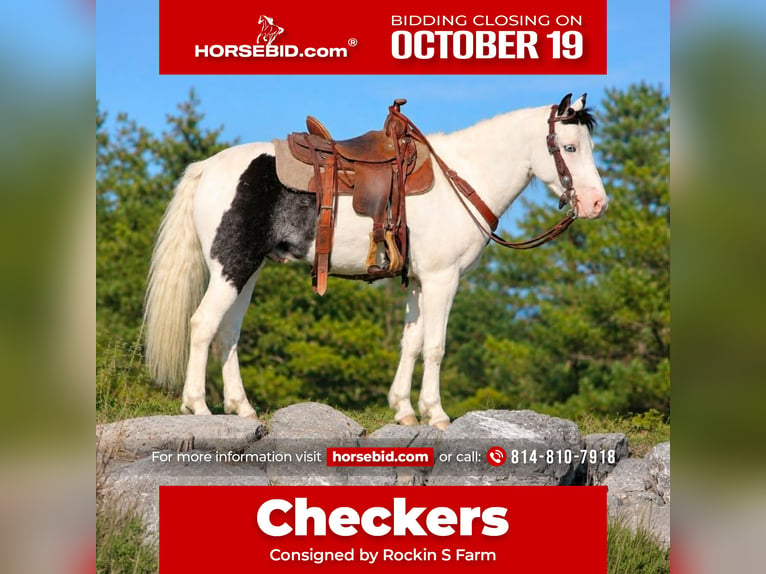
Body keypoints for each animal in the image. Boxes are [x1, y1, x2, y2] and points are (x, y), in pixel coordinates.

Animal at [143, 93, 608, 429]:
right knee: (203, 324)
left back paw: (241, 408)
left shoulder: (419, 282)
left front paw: (404, 409)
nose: (597, 204)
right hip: (231, 268)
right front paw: (436, 414)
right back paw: (198, 407)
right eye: (569, 147)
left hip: (247, 272)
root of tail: (208, 167)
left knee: (228, 334)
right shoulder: (443, 280)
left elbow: (412, 342)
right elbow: (435, 346)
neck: (461, 178)